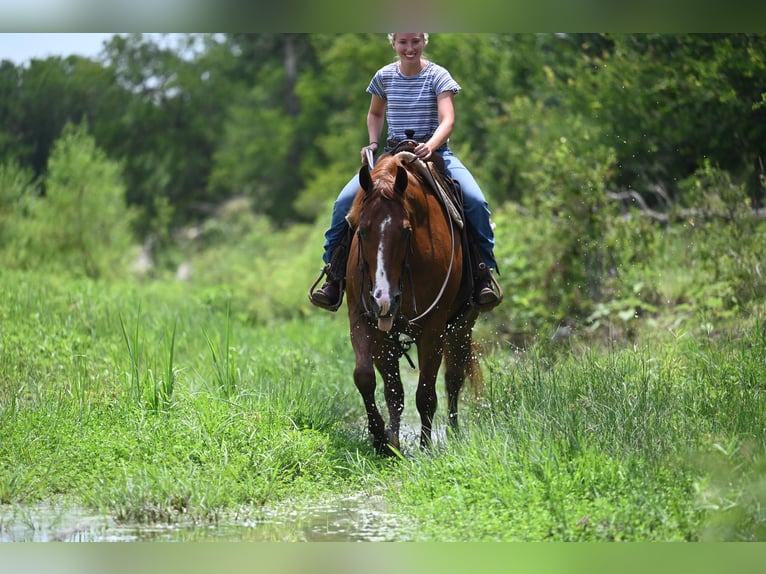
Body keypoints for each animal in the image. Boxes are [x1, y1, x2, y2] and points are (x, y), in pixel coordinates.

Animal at [345, 150, 481, 455]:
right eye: (362, 230)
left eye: (407, 231)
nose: (383, 298)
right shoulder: (366, 320)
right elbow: (373, 381)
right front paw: (385, 441)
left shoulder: (434, 329)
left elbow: (426, 393)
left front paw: (425, 447)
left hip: (462, 325)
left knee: (453, 378)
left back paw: (453, 433)